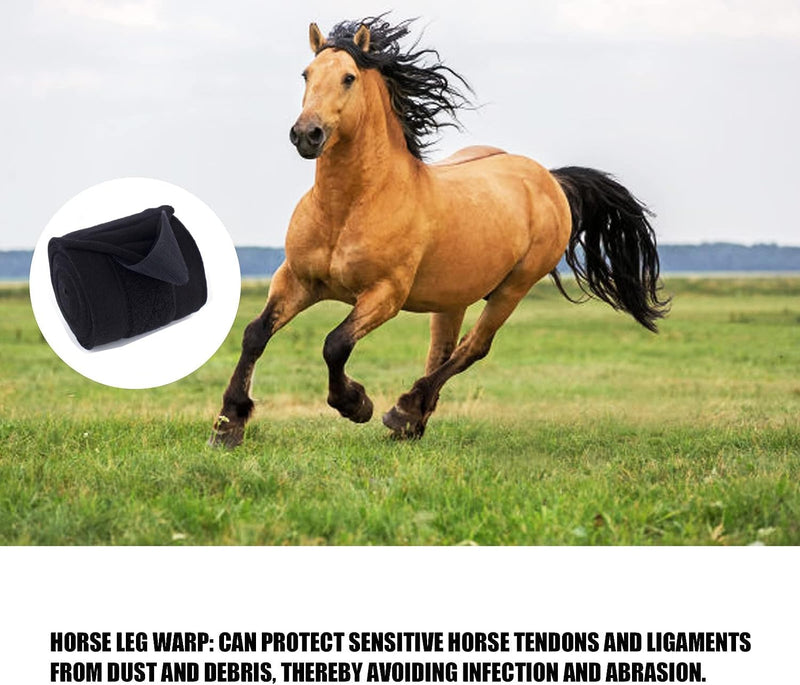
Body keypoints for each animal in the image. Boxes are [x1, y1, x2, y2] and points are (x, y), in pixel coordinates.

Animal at [210, 16, 669, 447]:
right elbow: (255, 334)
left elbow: (334, 344)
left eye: (348, 77)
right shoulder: (297, 280)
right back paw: (412, 423)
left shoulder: (385, 294)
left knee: (472, 349)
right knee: (442, 351)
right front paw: (228, 424)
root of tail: (549, 179)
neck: (349, 207)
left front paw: (356, 404)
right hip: (453, 297)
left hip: (513, 288)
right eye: (306, 74)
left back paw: (403, 411)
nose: (307, 134)